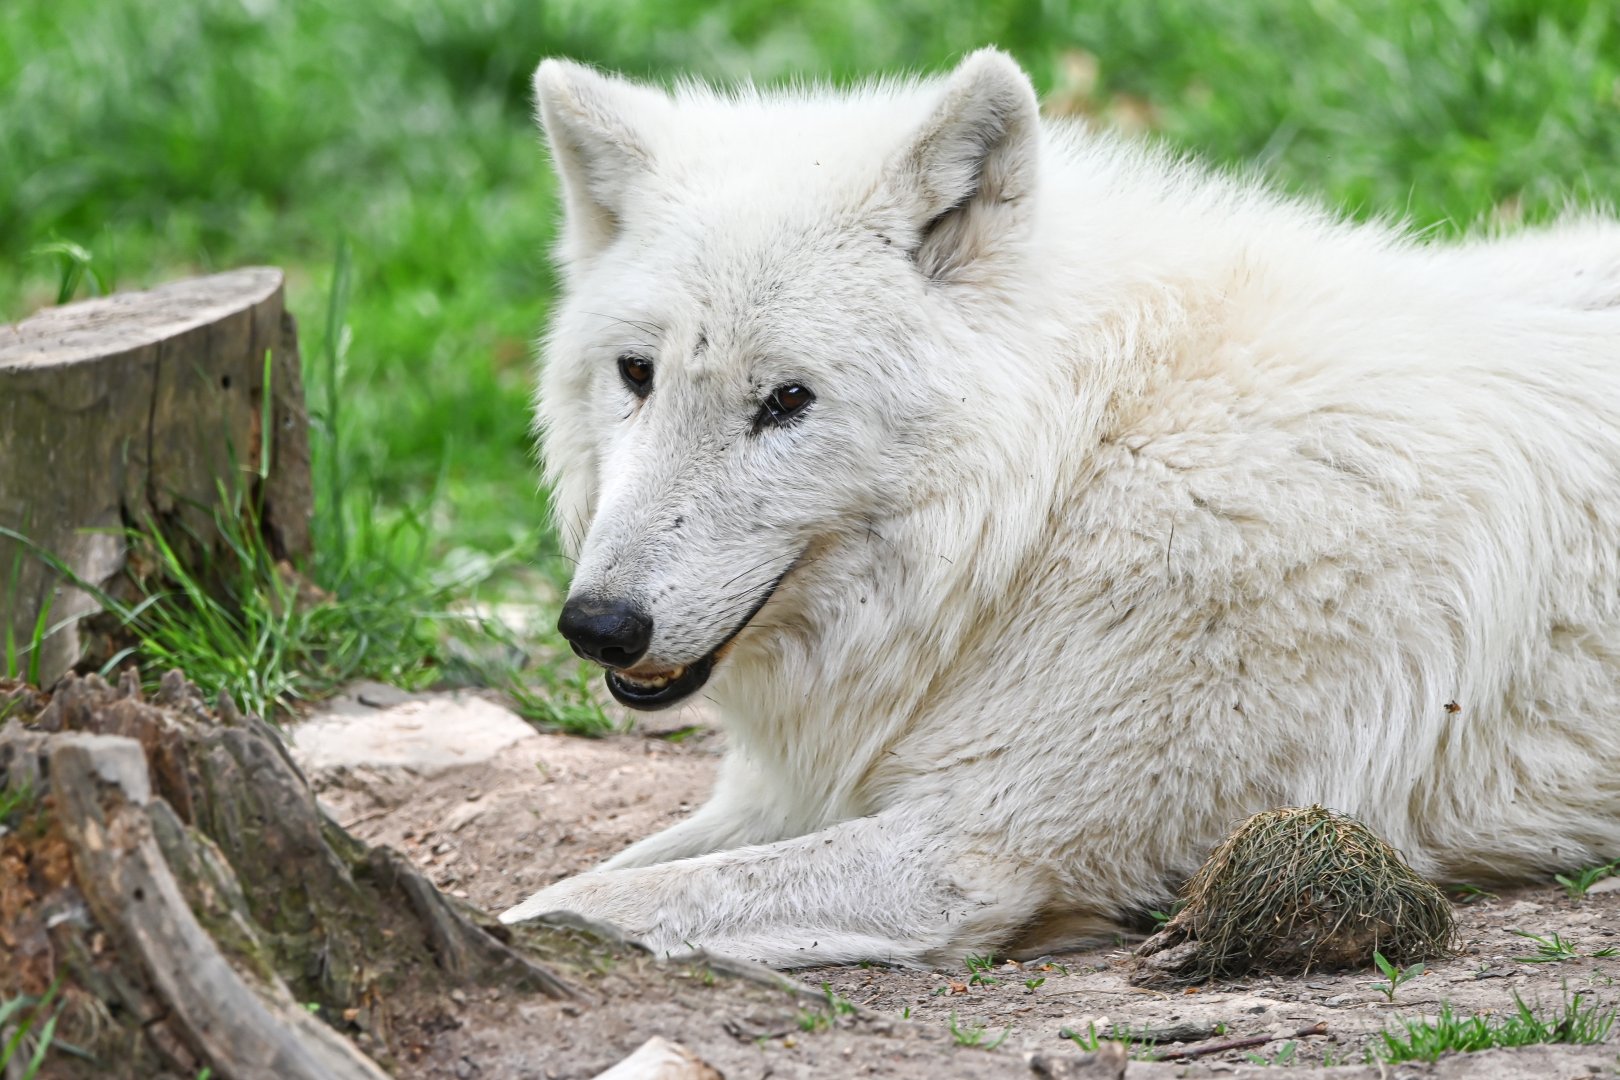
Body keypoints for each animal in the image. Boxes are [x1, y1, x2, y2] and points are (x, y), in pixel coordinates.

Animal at [499, 48, 1620, 969]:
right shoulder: (800, 794)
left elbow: (583, 904)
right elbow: (584, 878)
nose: (598, 625)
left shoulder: (964, 852)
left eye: (786, 400)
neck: (1065, 483)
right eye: (637, 374)